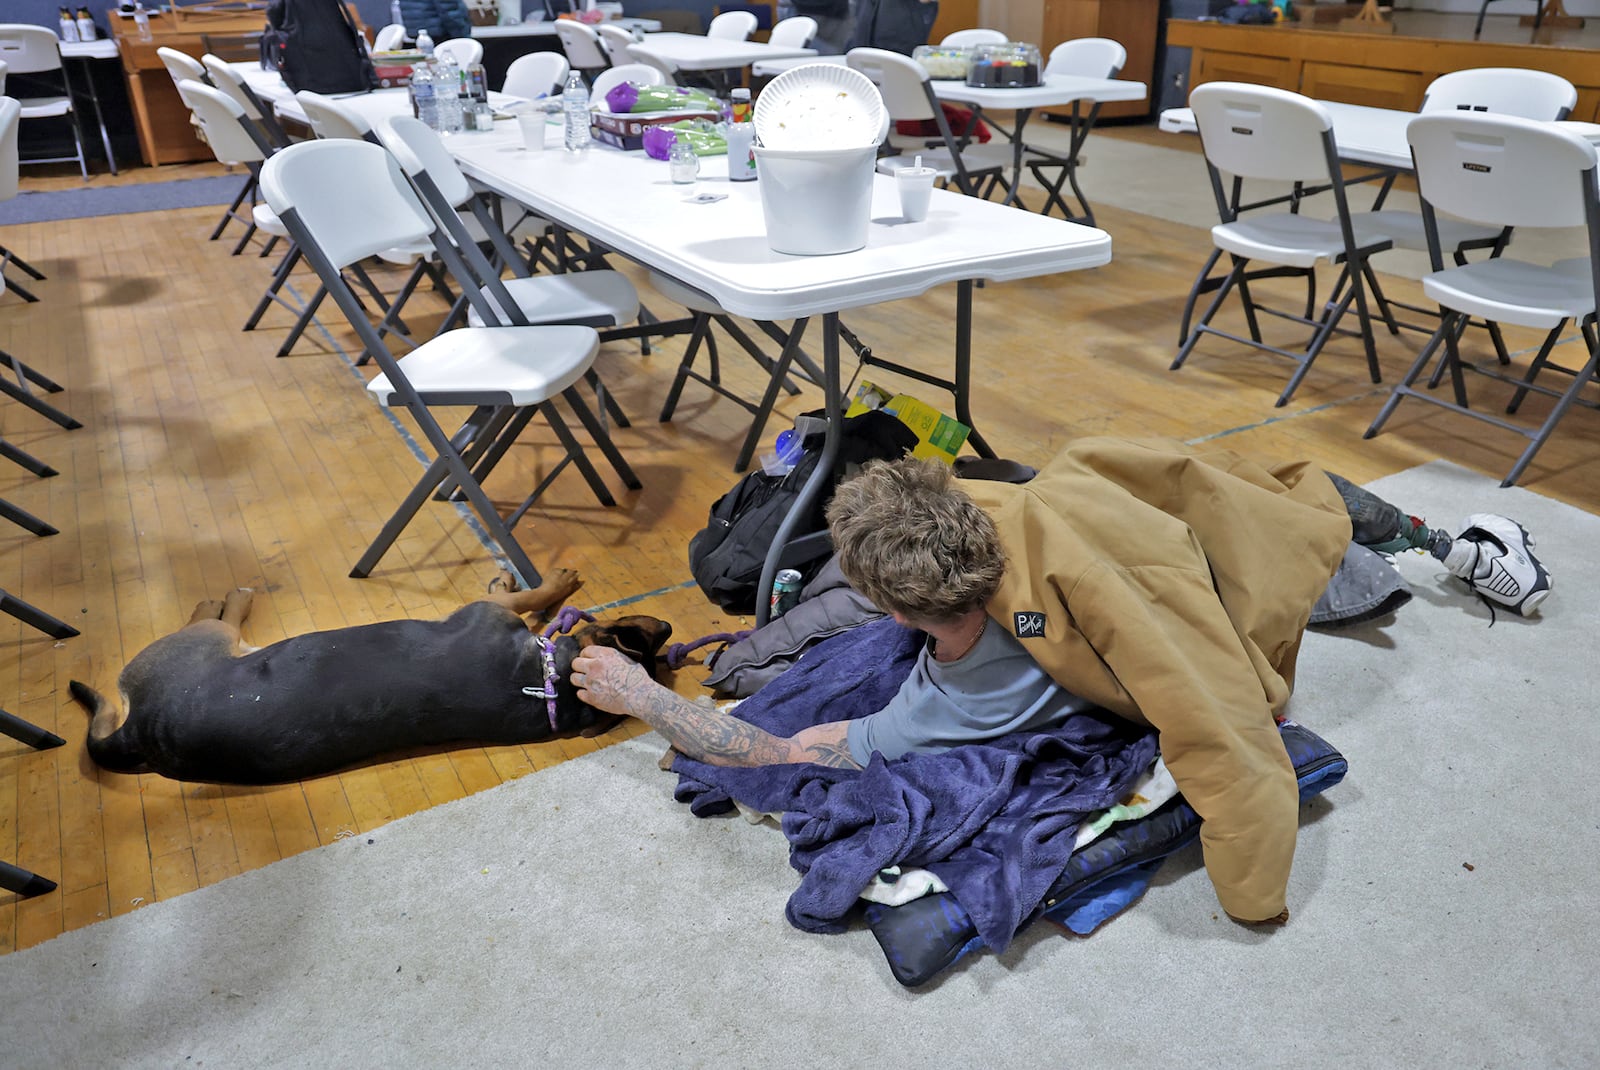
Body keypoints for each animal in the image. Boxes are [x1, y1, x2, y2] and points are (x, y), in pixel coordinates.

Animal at [72, 575, 672, 783]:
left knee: (216, 616)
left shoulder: (492, 612)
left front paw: (552, 583)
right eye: (650, 640)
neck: (544, 684)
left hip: (202, 643)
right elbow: (531, 595)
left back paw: (228, 597)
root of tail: (139, 732)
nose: (667, 626)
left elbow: (530, 594)